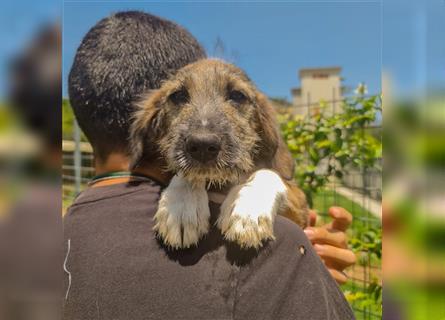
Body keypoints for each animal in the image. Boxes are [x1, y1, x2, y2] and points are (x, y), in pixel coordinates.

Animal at [130, 60, 306, 250]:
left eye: (237, 95)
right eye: (177, 96)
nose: (202, 145)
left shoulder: (301, 206)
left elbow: (267, 173)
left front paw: (248, 210)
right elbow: (187, 174)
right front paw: (182, 206)